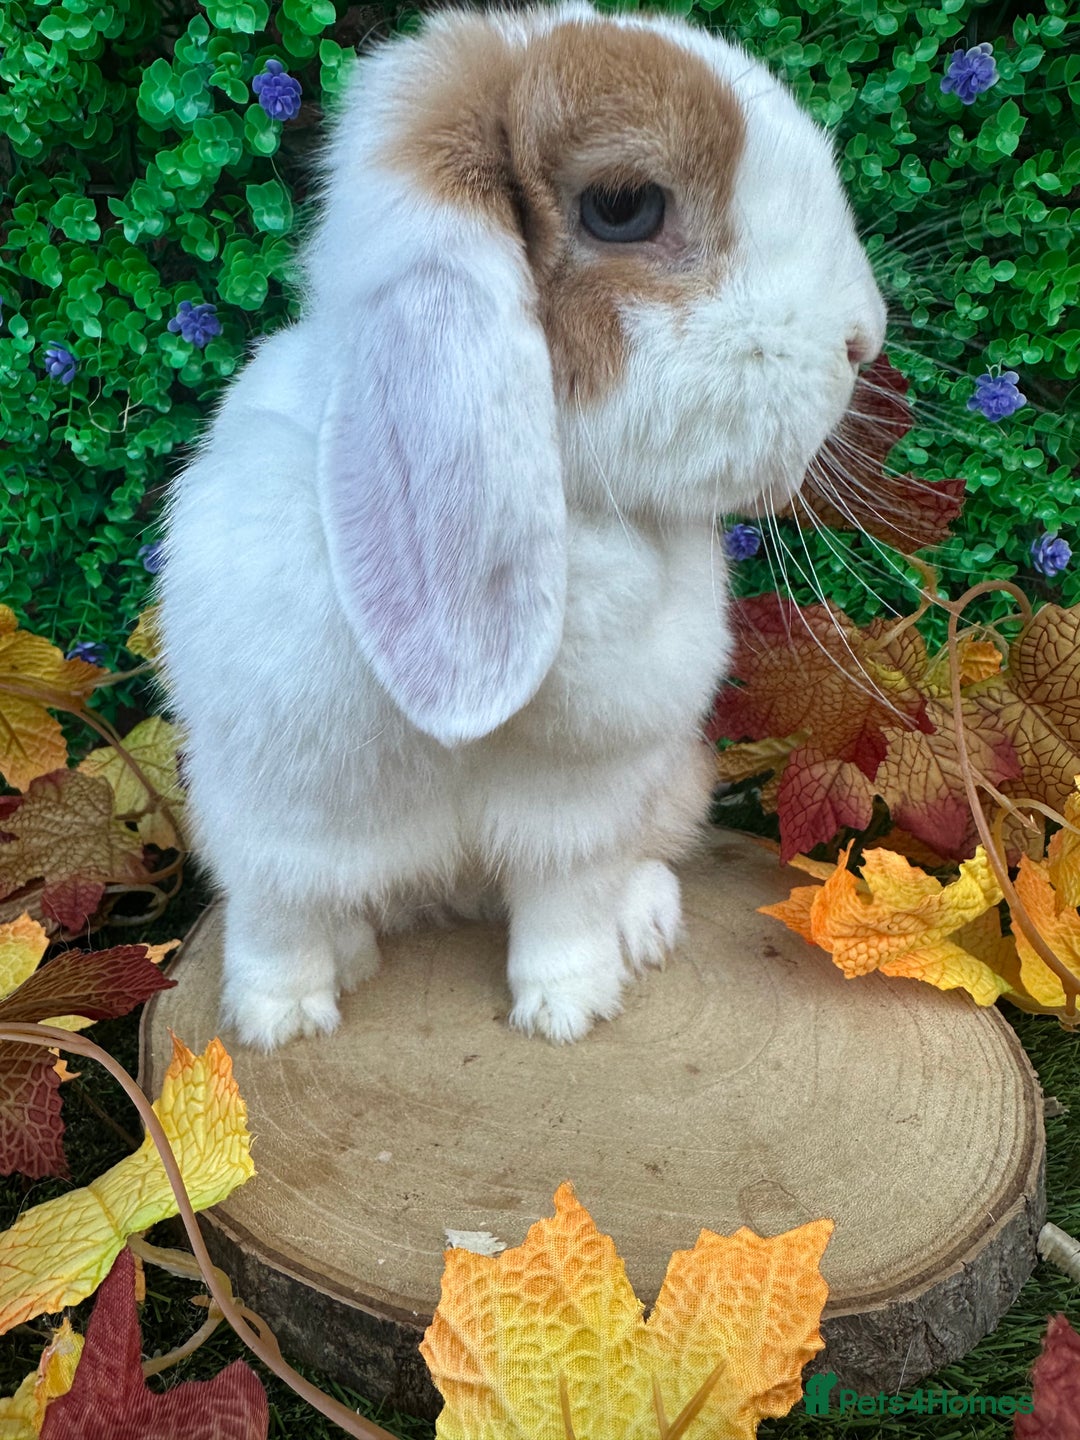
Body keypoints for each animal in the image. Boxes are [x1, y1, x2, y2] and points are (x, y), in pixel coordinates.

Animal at [158, 0, 887, 1050]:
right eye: (623, 206)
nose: (864, 339)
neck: (561, 508)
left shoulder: (577, 805)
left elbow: (562, 905)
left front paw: (568, 1010)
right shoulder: (276, 813)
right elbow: (277, 918)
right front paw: (277, 1022)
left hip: (671, 778)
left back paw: (644, 924)